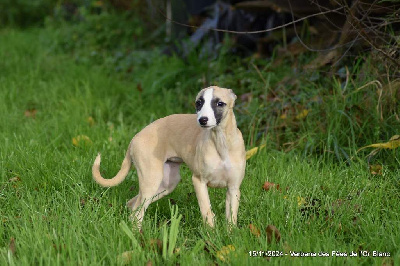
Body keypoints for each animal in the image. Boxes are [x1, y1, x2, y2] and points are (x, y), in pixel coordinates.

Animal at [92, 86, 245, 228]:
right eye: (199, 103)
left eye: (220, 103)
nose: (202, 120)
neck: (221, 142)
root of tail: (134, 138)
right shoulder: (199, 181)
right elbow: (207, 211)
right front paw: (211, 234)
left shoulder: (233, 189)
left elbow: (232, 217)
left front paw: (229, 235)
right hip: (151, 182)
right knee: (137, 213)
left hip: (166, 184)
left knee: (132, 205)